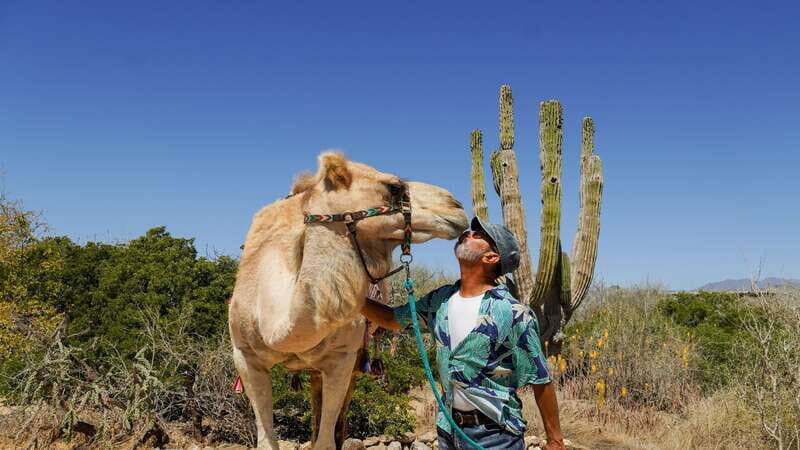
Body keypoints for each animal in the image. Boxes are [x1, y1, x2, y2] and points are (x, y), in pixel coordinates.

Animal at [229, 152, 467, 450]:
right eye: (394, 187)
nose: (455, 206)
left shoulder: (341, 358)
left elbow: (326, 441)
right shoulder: (245, 357)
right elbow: (266, 441)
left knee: (338, 424)